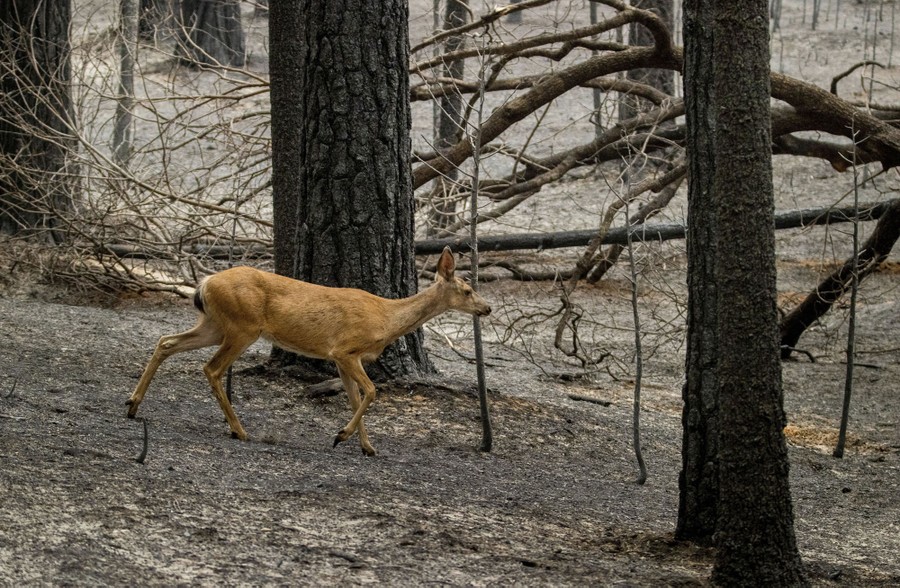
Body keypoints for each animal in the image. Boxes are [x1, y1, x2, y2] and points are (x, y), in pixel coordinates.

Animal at [125, 246, 491, 456]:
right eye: (467, 290)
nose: (487, 308)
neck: (386, 318)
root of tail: (204, 283)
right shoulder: (345, 349)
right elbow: (372, 391)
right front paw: (342, 436)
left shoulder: (341, 359)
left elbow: (355, 397)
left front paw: (366, 447)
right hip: (243, 327)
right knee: (211, 369)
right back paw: (239, 430)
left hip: (216, 324)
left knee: (166, 341)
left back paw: (132, 405)